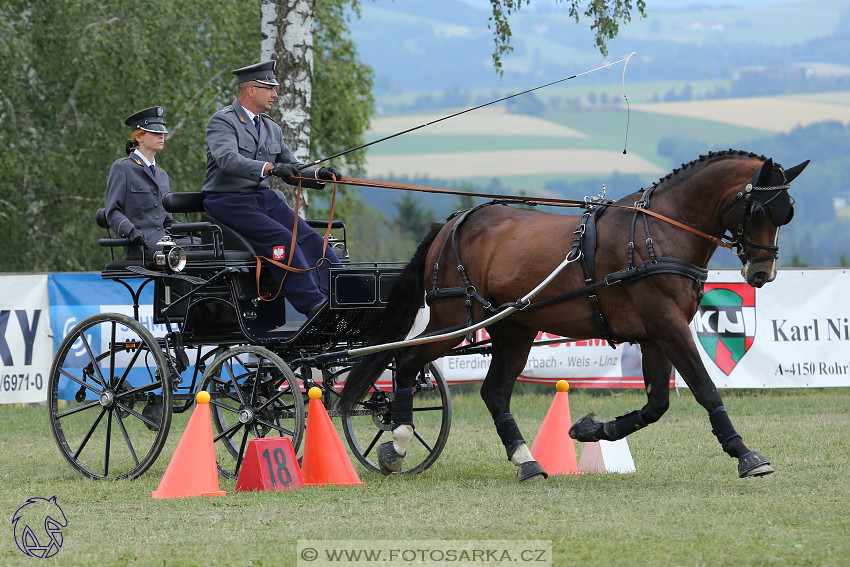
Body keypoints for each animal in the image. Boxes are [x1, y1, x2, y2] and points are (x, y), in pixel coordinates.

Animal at [340, 150, 808, 480]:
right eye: (760, 211)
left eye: (787, 212)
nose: (762, 273)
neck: (659, 233)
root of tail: (454, 221)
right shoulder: (669, 326)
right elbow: (705, 389)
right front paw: (745, 454)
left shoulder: (656, 334)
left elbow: (657, 403)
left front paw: (591, 431)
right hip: (455, 320)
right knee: (407, 360)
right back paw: (397, 444)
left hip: (513, 328)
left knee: (493, 392)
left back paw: (526, 460)